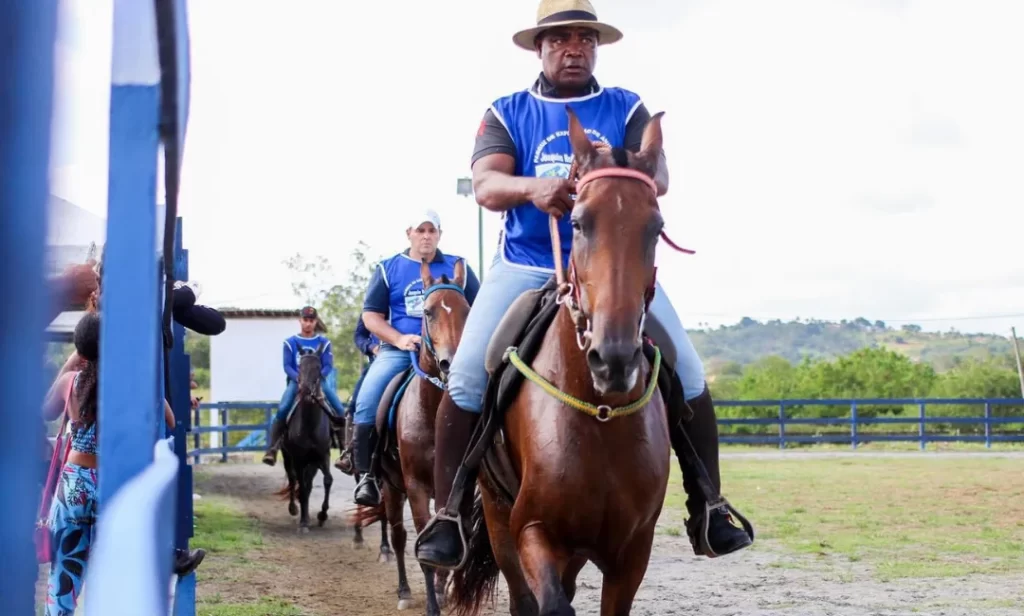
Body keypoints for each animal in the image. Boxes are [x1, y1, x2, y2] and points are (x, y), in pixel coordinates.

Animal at [278, 343, 346, 528]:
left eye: (318, 367)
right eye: (300, 366)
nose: (306, 391)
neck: (309, 425)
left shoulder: (322, 455)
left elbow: (328, 480)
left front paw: (322, 515)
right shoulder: (299, 458)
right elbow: (300, 485)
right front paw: (303, 522)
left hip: (313, 461)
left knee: (307, 484)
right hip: (288, 456)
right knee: (294, 479)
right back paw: (295, 509)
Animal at [448, 110, 671, 613]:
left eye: (655, 226)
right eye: (579, 222)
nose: (614, 359)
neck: (600, 414)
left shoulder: (633, 553)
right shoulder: (533, 531)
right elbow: (548, 603)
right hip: (499, 519)